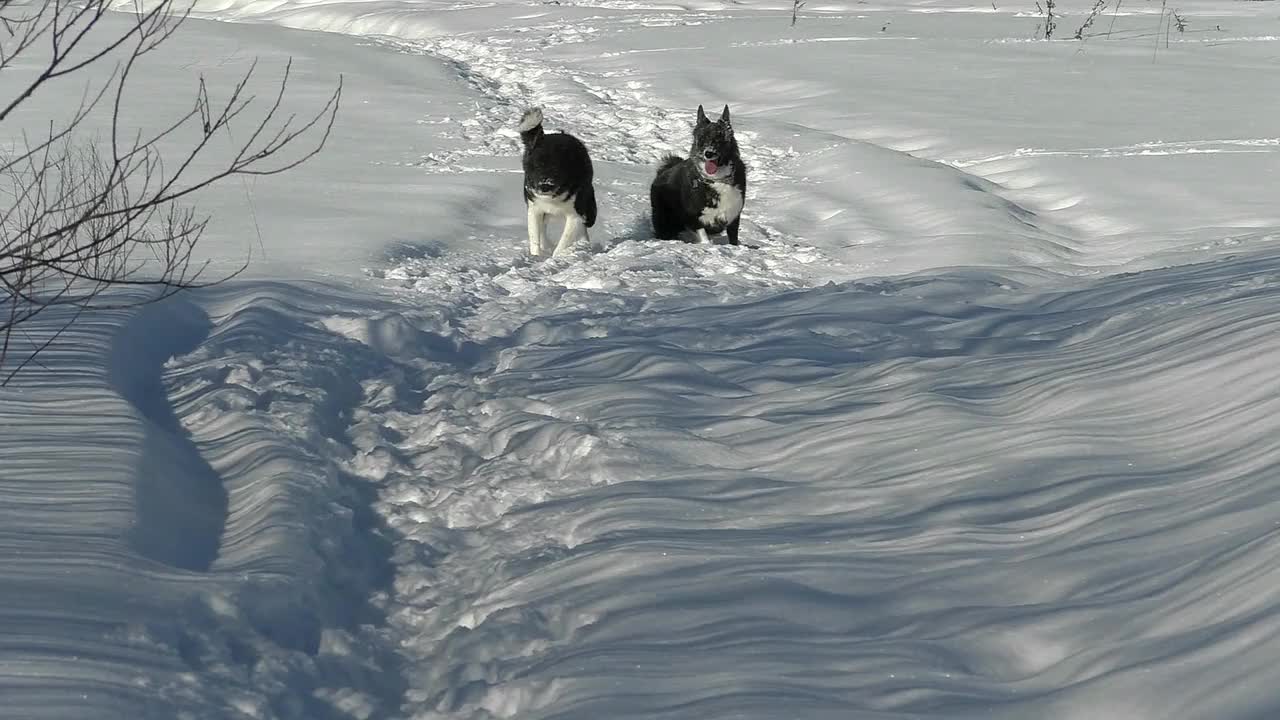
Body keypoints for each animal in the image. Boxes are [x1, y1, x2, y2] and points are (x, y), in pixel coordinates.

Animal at [517, 107, 596, 256]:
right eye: (536, 166)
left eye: (557, 169)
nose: (544, 186)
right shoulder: (534, 209)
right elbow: (535, 239)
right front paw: (536, 256)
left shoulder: (575, 216)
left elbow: (563, 244)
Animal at [655, 102, 747, 244]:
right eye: (702, 138)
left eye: (719, 138)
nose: (708, 153)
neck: (716, 180)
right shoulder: (693, 217)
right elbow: (703, 235)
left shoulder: (734, 216)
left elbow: (733, 239)